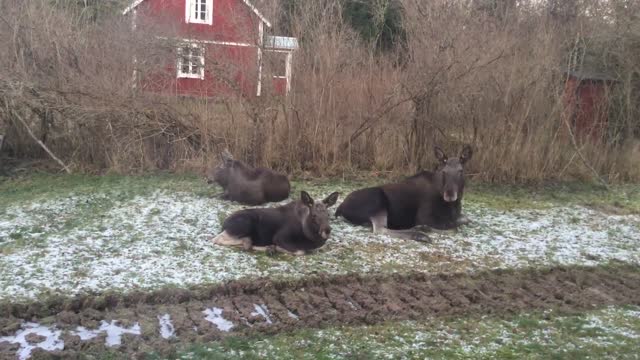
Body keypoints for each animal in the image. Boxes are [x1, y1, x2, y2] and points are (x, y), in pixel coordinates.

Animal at [211, 191, 342, 256]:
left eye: (328, 214)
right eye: (314, 215)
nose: (327, 230)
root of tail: (224, 223)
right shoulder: (279, 237)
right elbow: (300, 251)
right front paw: (275, 248)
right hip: (244, 224)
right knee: (217, 239)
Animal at [338, 144, 472, 242]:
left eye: (461, 171)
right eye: (444, 172)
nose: (449, 195)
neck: (452, 205)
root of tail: (341, 207)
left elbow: (465, 219)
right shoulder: (424, 216)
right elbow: (454, 228)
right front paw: (426, 228)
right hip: (377, 201)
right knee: (380, 229)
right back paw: (419, 234)